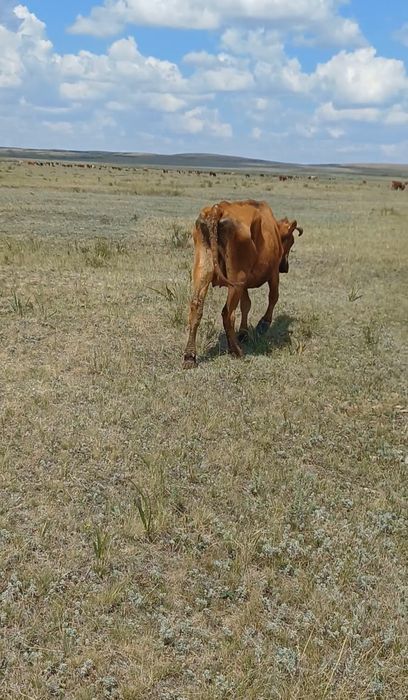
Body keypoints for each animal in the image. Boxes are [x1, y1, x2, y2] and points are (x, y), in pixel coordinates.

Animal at [182, 199, 303, 369]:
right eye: (290, 243)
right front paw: (263, 324)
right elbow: (273, 297)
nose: (285, 268)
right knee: (228, 313)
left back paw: (189, 356)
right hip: (236, 279)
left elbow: (246, 304)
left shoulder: (244, 285)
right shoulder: (273, 274)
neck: (273, 230)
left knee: (196, 308)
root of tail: (218, 209)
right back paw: (236, 350)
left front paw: (244, 332)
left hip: (203, 270)